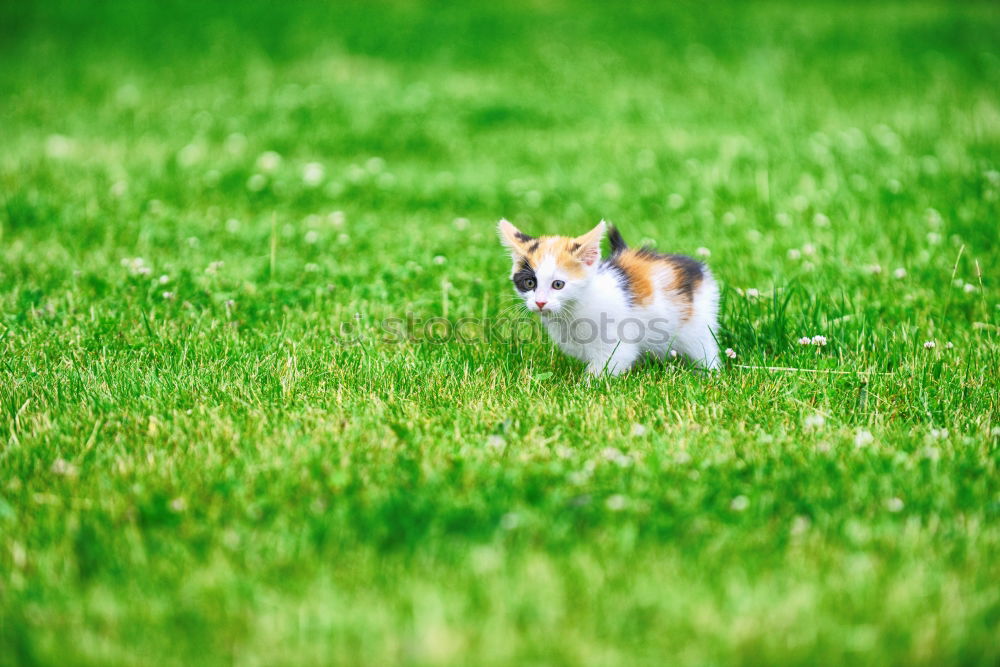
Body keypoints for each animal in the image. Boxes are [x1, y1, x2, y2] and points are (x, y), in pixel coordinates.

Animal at [498, 220, 720, 374]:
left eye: (558, 285)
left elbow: (606, 366)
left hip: (696, 324)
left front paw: (585, 389)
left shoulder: (616, 344)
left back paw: (710, 375)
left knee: (705, 349)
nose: (540, 302)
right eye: (529, 283)